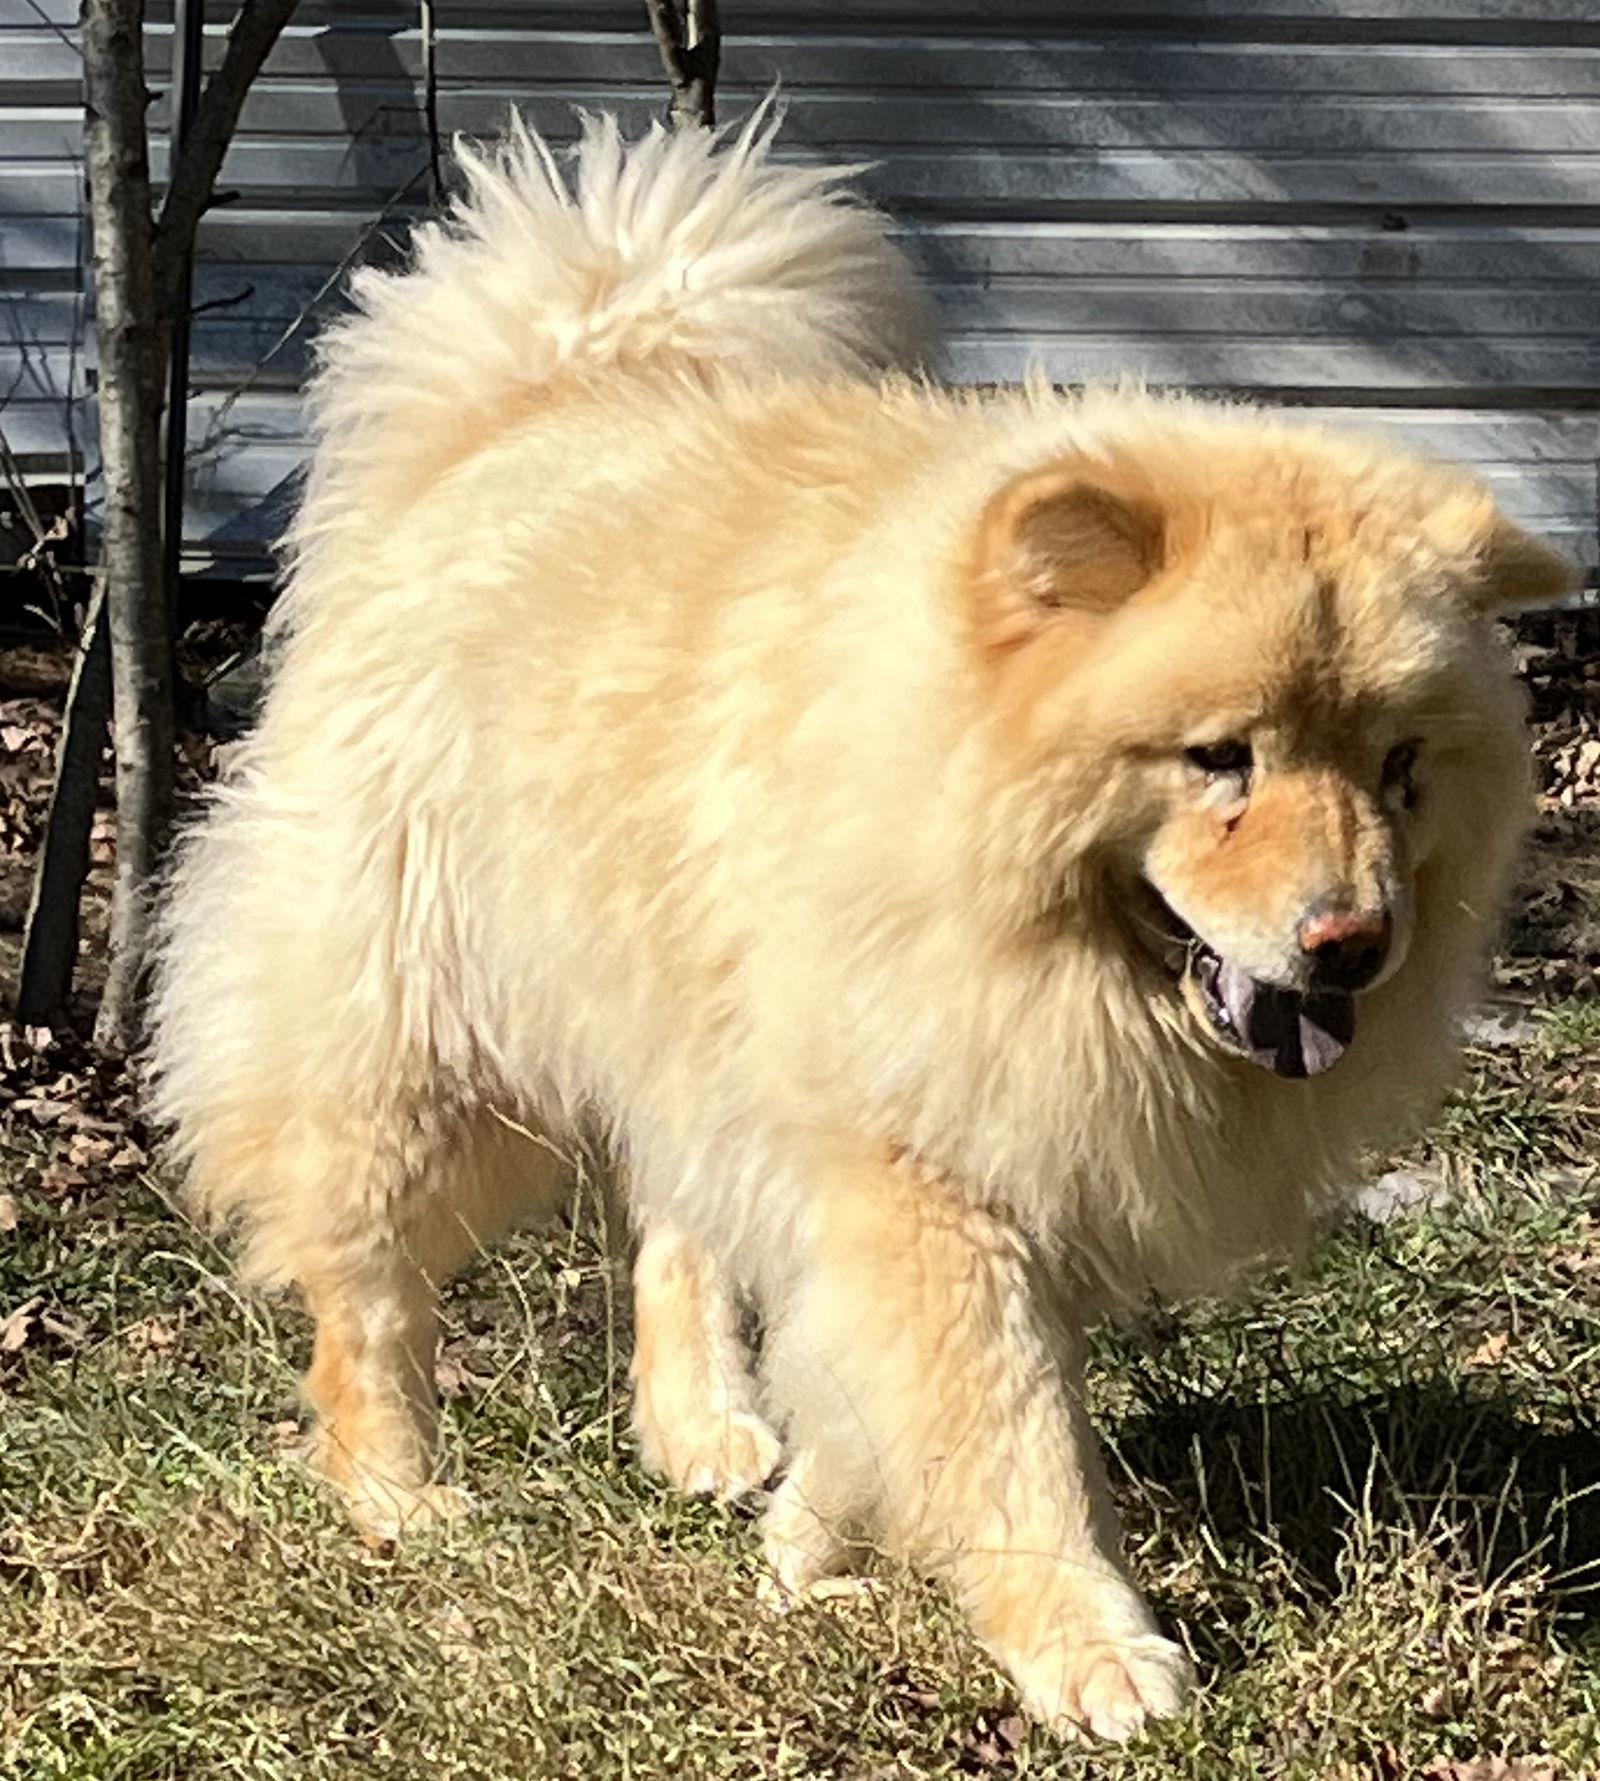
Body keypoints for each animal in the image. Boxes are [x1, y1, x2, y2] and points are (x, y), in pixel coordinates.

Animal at [153, 118, 1567, 1745]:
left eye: (1400, 768)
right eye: (1221, 758)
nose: (1351, 941)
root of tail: (520, 413)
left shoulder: (951, 1154)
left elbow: (883, 1405)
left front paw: (803, 1558)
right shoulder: (928, 1175)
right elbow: (1003, 1431)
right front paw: (1089, 1649)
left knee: (673, 1223)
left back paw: (700, 1427)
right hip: (425, 1050)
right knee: (364, 1283)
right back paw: (400, 1494)